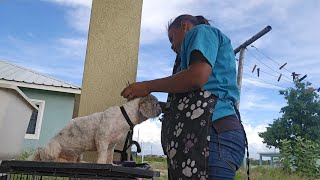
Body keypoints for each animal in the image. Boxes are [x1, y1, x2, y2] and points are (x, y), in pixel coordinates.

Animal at [31, 95, 161, 164]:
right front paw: (102, 163)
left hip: (79, 154)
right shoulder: (102, 139)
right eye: (156, 104)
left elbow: (110, 156)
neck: (124, 116)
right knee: (48, 158)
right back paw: (60, 160)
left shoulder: (111, 144)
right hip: (52, 149)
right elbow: (102, 155)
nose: (161, 109)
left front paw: (111, 164)